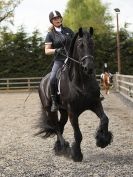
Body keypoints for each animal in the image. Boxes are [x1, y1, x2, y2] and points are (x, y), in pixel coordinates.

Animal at [37, 27, 112, 162]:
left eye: (92, 44)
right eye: (80, 45)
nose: (89, 68)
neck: (81, 82)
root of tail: (43, 81)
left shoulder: (95, 104)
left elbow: (104, 119)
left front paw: (102, 140)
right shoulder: (73, 112)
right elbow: (78, 134)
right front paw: (77, 154)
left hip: (63, 112)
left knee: (60, 126)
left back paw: (59, 148)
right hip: (50, 110)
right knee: (56, 127)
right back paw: (64, 147)